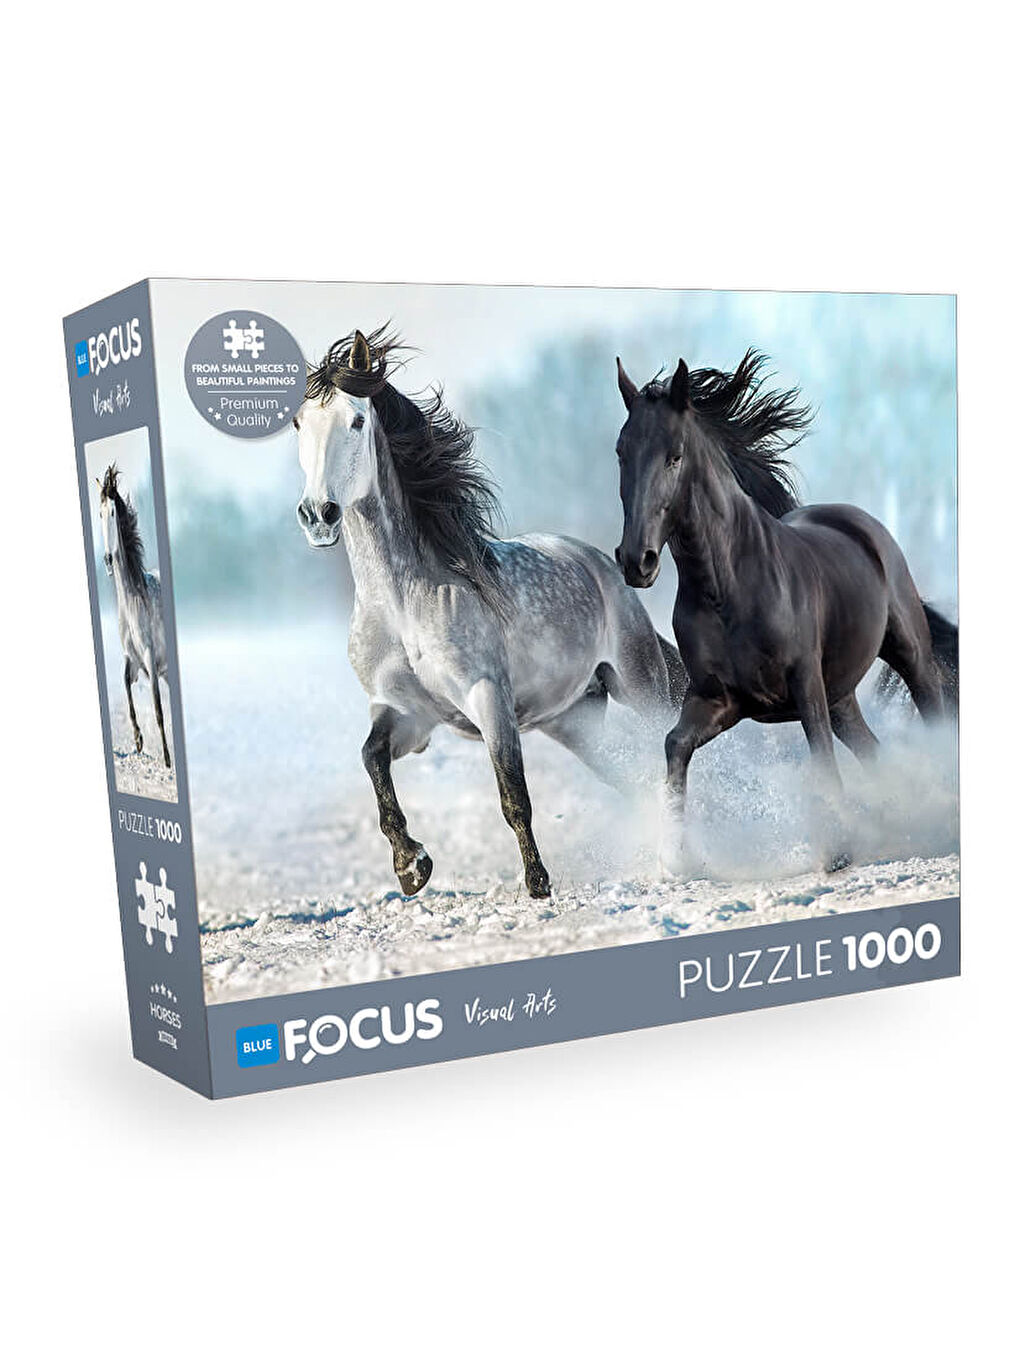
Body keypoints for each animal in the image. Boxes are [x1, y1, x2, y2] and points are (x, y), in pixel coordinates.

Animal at [293, 327, 684, 899]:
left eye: (357, 420)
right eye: (299, 423)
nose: (317, 516)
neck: (402, 605)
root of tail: (604, 566)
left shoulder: (488, 698)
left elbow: (513, 795)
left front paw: (538, 884)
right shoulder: (405, 714)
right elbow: (372, 761)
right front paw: (412, 867)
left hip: (640, 686)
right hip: (574, 721)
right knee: (632, 776)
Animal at [612, 349, 957, 871]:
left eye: (675, 454)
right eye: (621, 451)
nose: (637, 561)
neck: (728, 588)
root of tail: (863, 525)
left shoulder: (804, 686)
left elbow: (820, 759)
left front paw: (837, 850)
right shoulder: (719, 699)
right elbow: (675, 745)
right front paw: (677, 857)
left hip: (906, 654)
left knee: (931, 712)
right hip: (841, 697)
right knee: (873, 751)